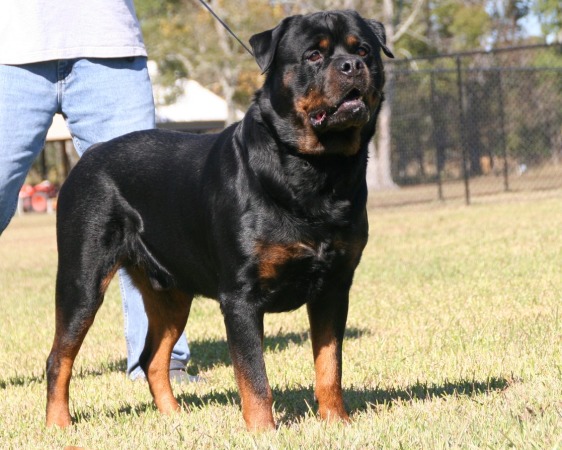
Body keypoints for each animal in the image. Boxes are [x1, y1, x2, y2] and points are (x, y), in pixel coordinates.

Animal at [46, 10, 392, 430]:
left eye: (364, 50)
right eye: (313, 55)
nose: (351, 65)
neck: (316, 172)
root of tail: (87, 157)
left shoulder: (334, 287)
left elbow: (329, 366)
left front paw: (336, 422)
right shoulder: (240, 297)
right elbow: (255, 377)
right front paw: (263, 431)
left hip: (172, 292)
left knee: (153, 359)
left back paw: (174, 418)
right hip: (82, 281)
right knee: (59, 358)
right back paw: (57, 424)